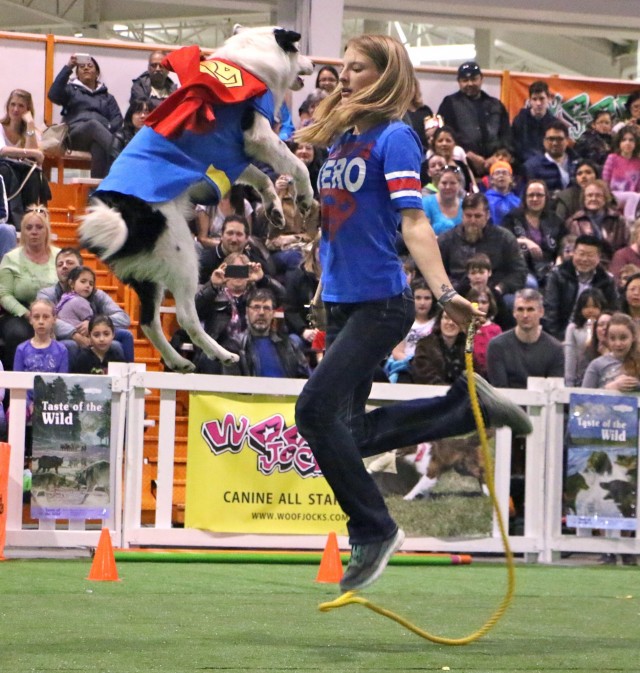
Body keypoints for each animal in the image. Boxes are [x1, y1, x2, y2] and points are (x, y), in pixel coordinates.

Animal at [80, 25, 316, 372]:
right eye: (298, 50)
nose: (315, 64)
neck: (250, 61)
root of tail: (122, 212)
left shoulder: (231, 158)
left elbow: (260, 179)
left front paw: (274, 208)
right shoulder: (258, 138)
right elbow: (296, 164)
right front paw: (306, 197)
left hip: (147, 277)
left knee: (148, 322)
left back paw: (177, 361)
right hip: (183, 255)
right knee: (186, 317)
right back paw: (221, 353)